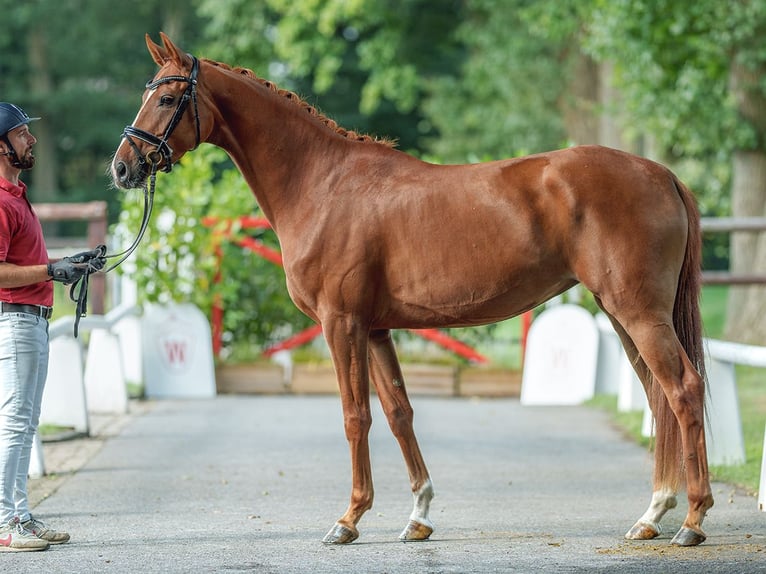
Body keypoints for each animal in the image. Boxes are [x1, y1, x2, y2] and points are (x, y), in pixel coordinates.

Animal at [112, 32, 712, 548]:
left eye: (168, 97)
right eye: (145, 93)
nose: (122, 168)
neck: (322, 184)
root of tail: (662, 174)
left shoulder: (341, 324)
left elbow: (355, 415)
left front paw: (348, 519)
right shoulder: (376, 328)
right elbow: (399, 413)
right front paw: (418, 515)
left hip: (638, 312)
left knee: (683, 389)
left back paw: (691, 519)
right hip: (621, 313)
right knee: (658, 396)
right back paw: (651, 515)